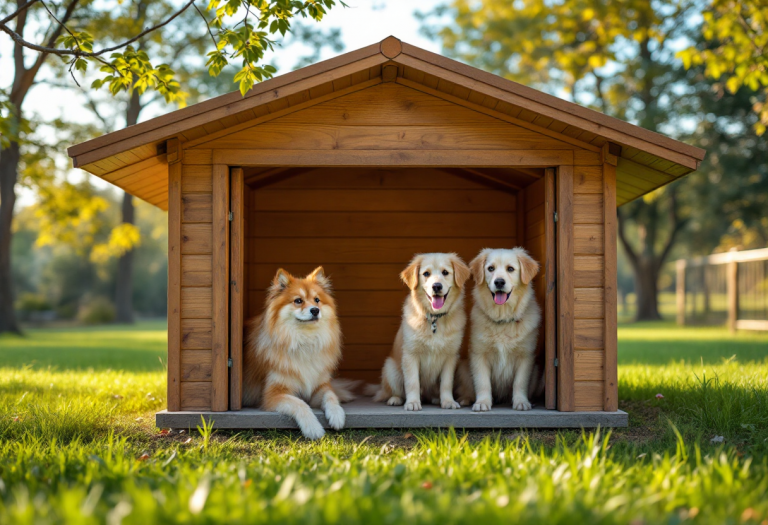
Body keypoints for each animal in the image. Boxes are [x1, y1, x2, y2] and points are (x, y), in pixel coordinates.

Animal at [242, 266, 352, 438]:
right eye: (298, 301)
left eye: (317, 300)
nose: (315, 310)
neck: (304, 340)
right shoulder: (274, 394)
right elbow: (300, 404)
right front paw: (313, 428)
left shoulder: (318, 386)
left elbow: (331, 396)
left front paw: (337, 414)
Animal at [370, 253, 472, 410]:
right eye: (426, 274)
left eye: (445, 272)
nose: (437, 286)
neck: (434, 318)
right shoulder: (410, 355)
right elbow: (412, 383)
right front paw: (412, 402)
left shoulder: (451, 356)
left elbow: (446, 383)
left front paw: (448, 401)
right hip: (390, 369)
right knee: (395, 391)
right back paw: (396, 399)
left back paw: (436, 399)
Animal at [460, 248, 544, 412]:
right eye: (490, 268)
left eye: (510, 269)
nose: (499, 282)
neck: (503, 318)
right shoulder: (479, 355)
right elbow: (483, 382)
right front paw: (482, 402)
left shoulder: (526, 356)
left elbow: (520, 383)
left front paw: (521, 402)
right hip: (464, 367)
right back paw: (465, 400)